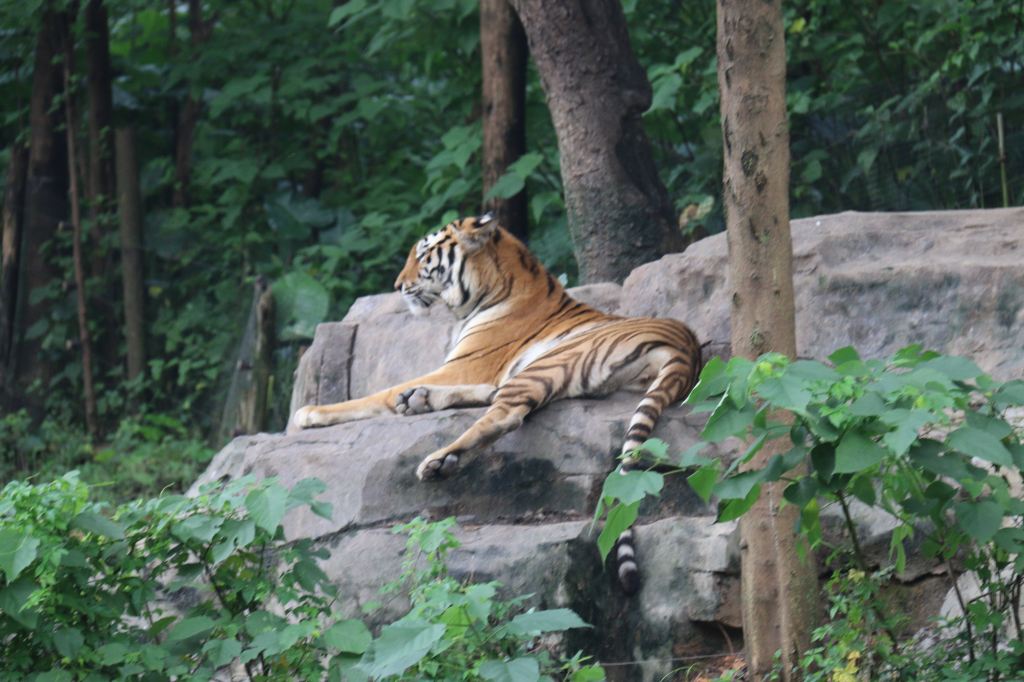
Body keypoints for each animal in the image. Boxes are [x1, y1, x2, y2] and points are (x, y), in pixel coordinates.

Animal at [292, 212, 700, 589]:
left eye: (422, 254)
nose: (398, 285)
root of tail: (688, 351)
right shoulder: (472, 370)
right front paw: (411, 397)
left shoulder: (464, 366)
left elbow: (380, 393)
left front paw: (309, 412)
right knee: (498, 402)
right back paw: (421, 403)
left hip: (548, 362)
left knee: (505, 414)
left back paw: (438, 459)